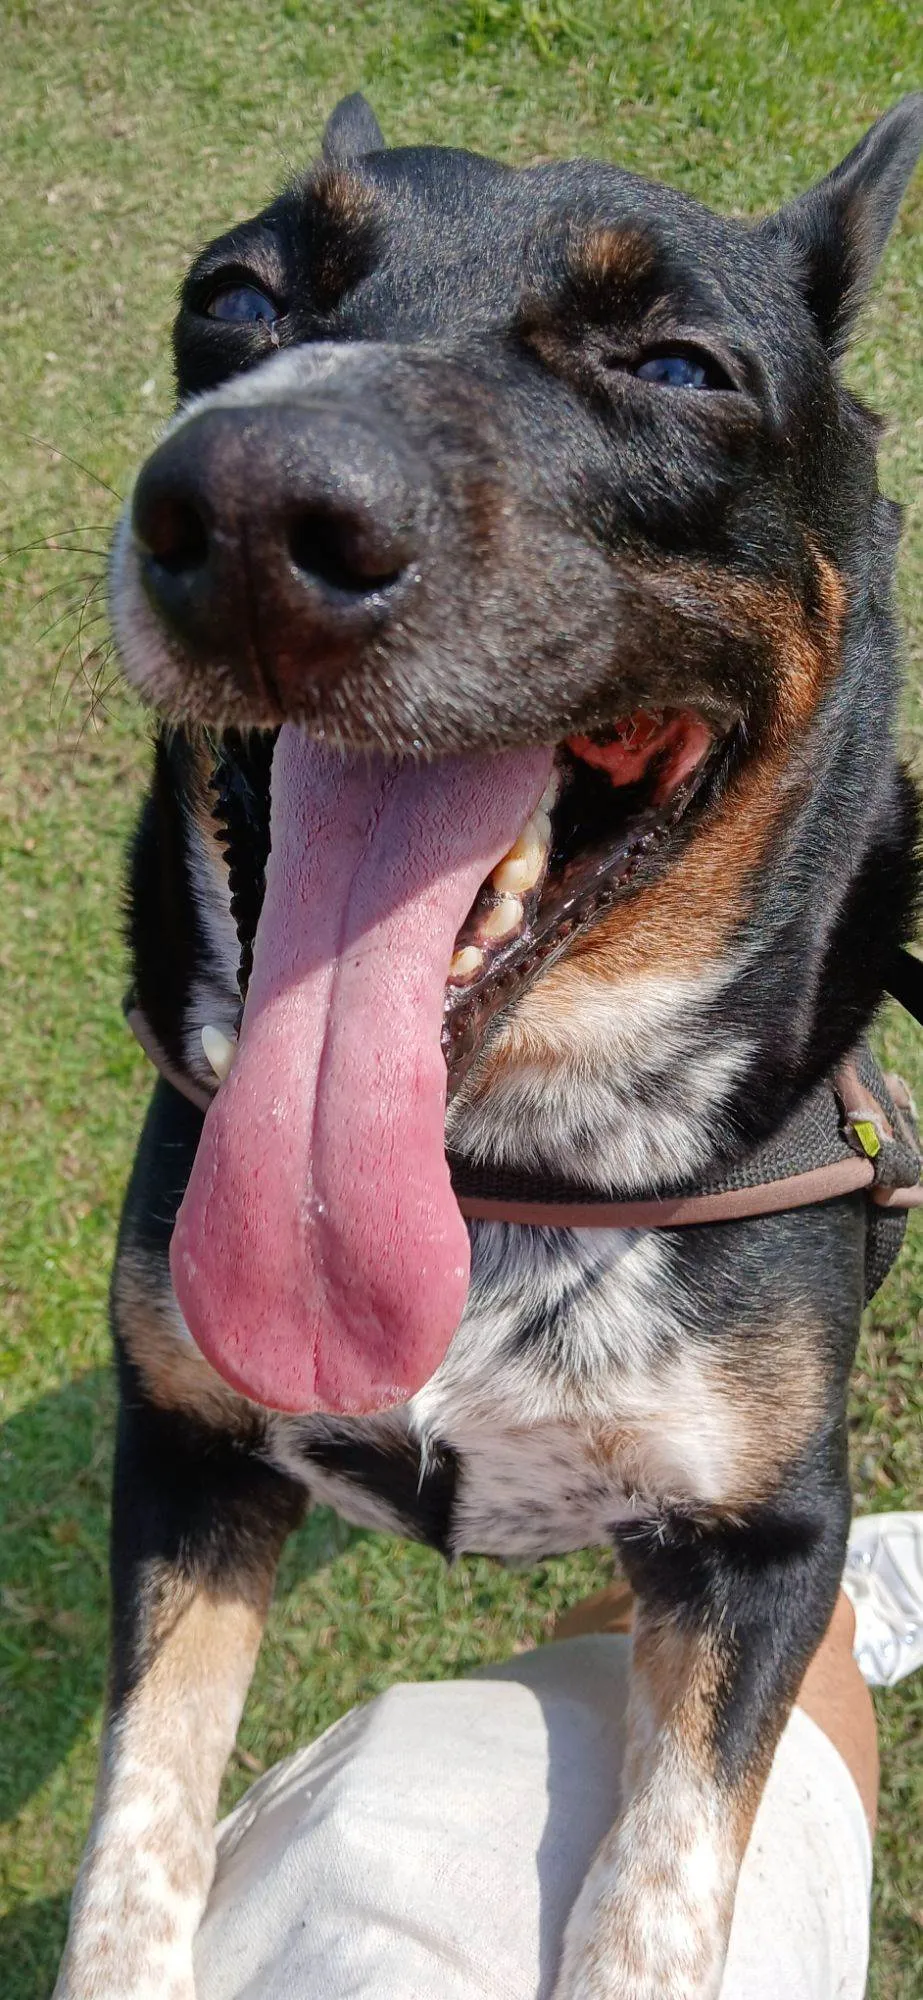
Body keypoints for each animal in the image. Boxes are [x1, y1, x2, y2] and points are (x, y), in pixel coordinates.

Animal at [54, 91, 922, 2000]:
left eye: (678, 365)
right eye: (235, 295)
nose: (246, 510)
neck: (499, 1162)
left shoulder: (768, 1542)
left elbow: (654, 1893)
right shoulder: (186, 1447)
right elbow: (136, 1837)